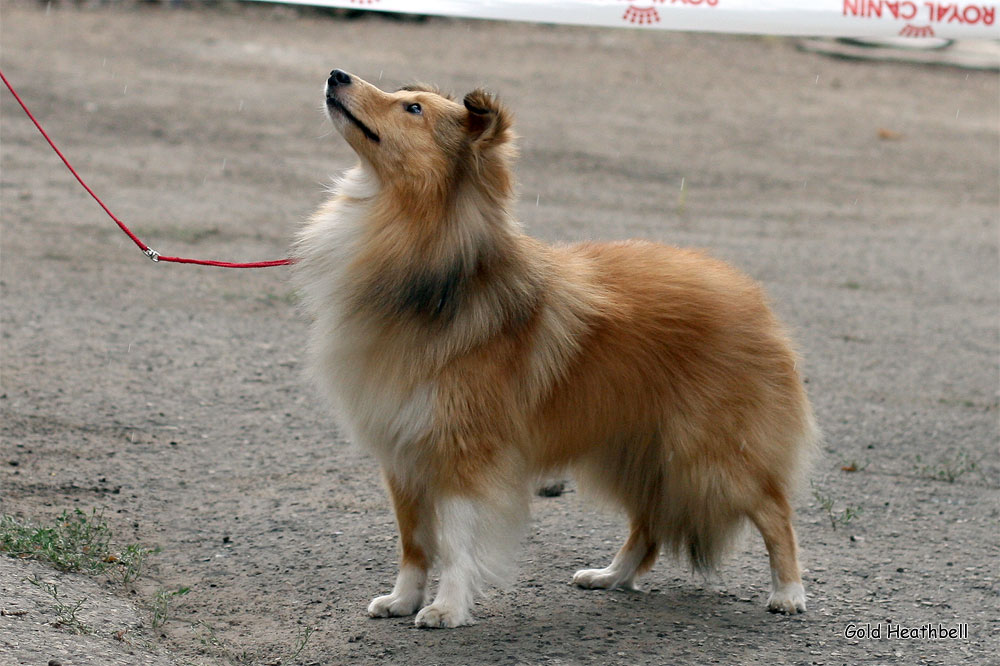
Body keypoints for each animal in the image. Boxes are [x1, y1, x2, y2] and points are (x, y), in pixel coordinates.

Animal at [292, 70, 816, 624]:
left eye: (412, 109)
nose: (337, 75)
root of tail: (754, 297)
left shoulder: (463, 450)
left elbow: (455, 541)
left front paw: (446, 608)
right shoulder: (403, 452)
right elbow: (413, 541)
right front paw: (402, 599)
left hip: (708, 455)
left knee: (774, 511)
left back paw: (788, 593)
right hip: (636, 449)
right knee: (649, 526)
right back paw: (610, 576)